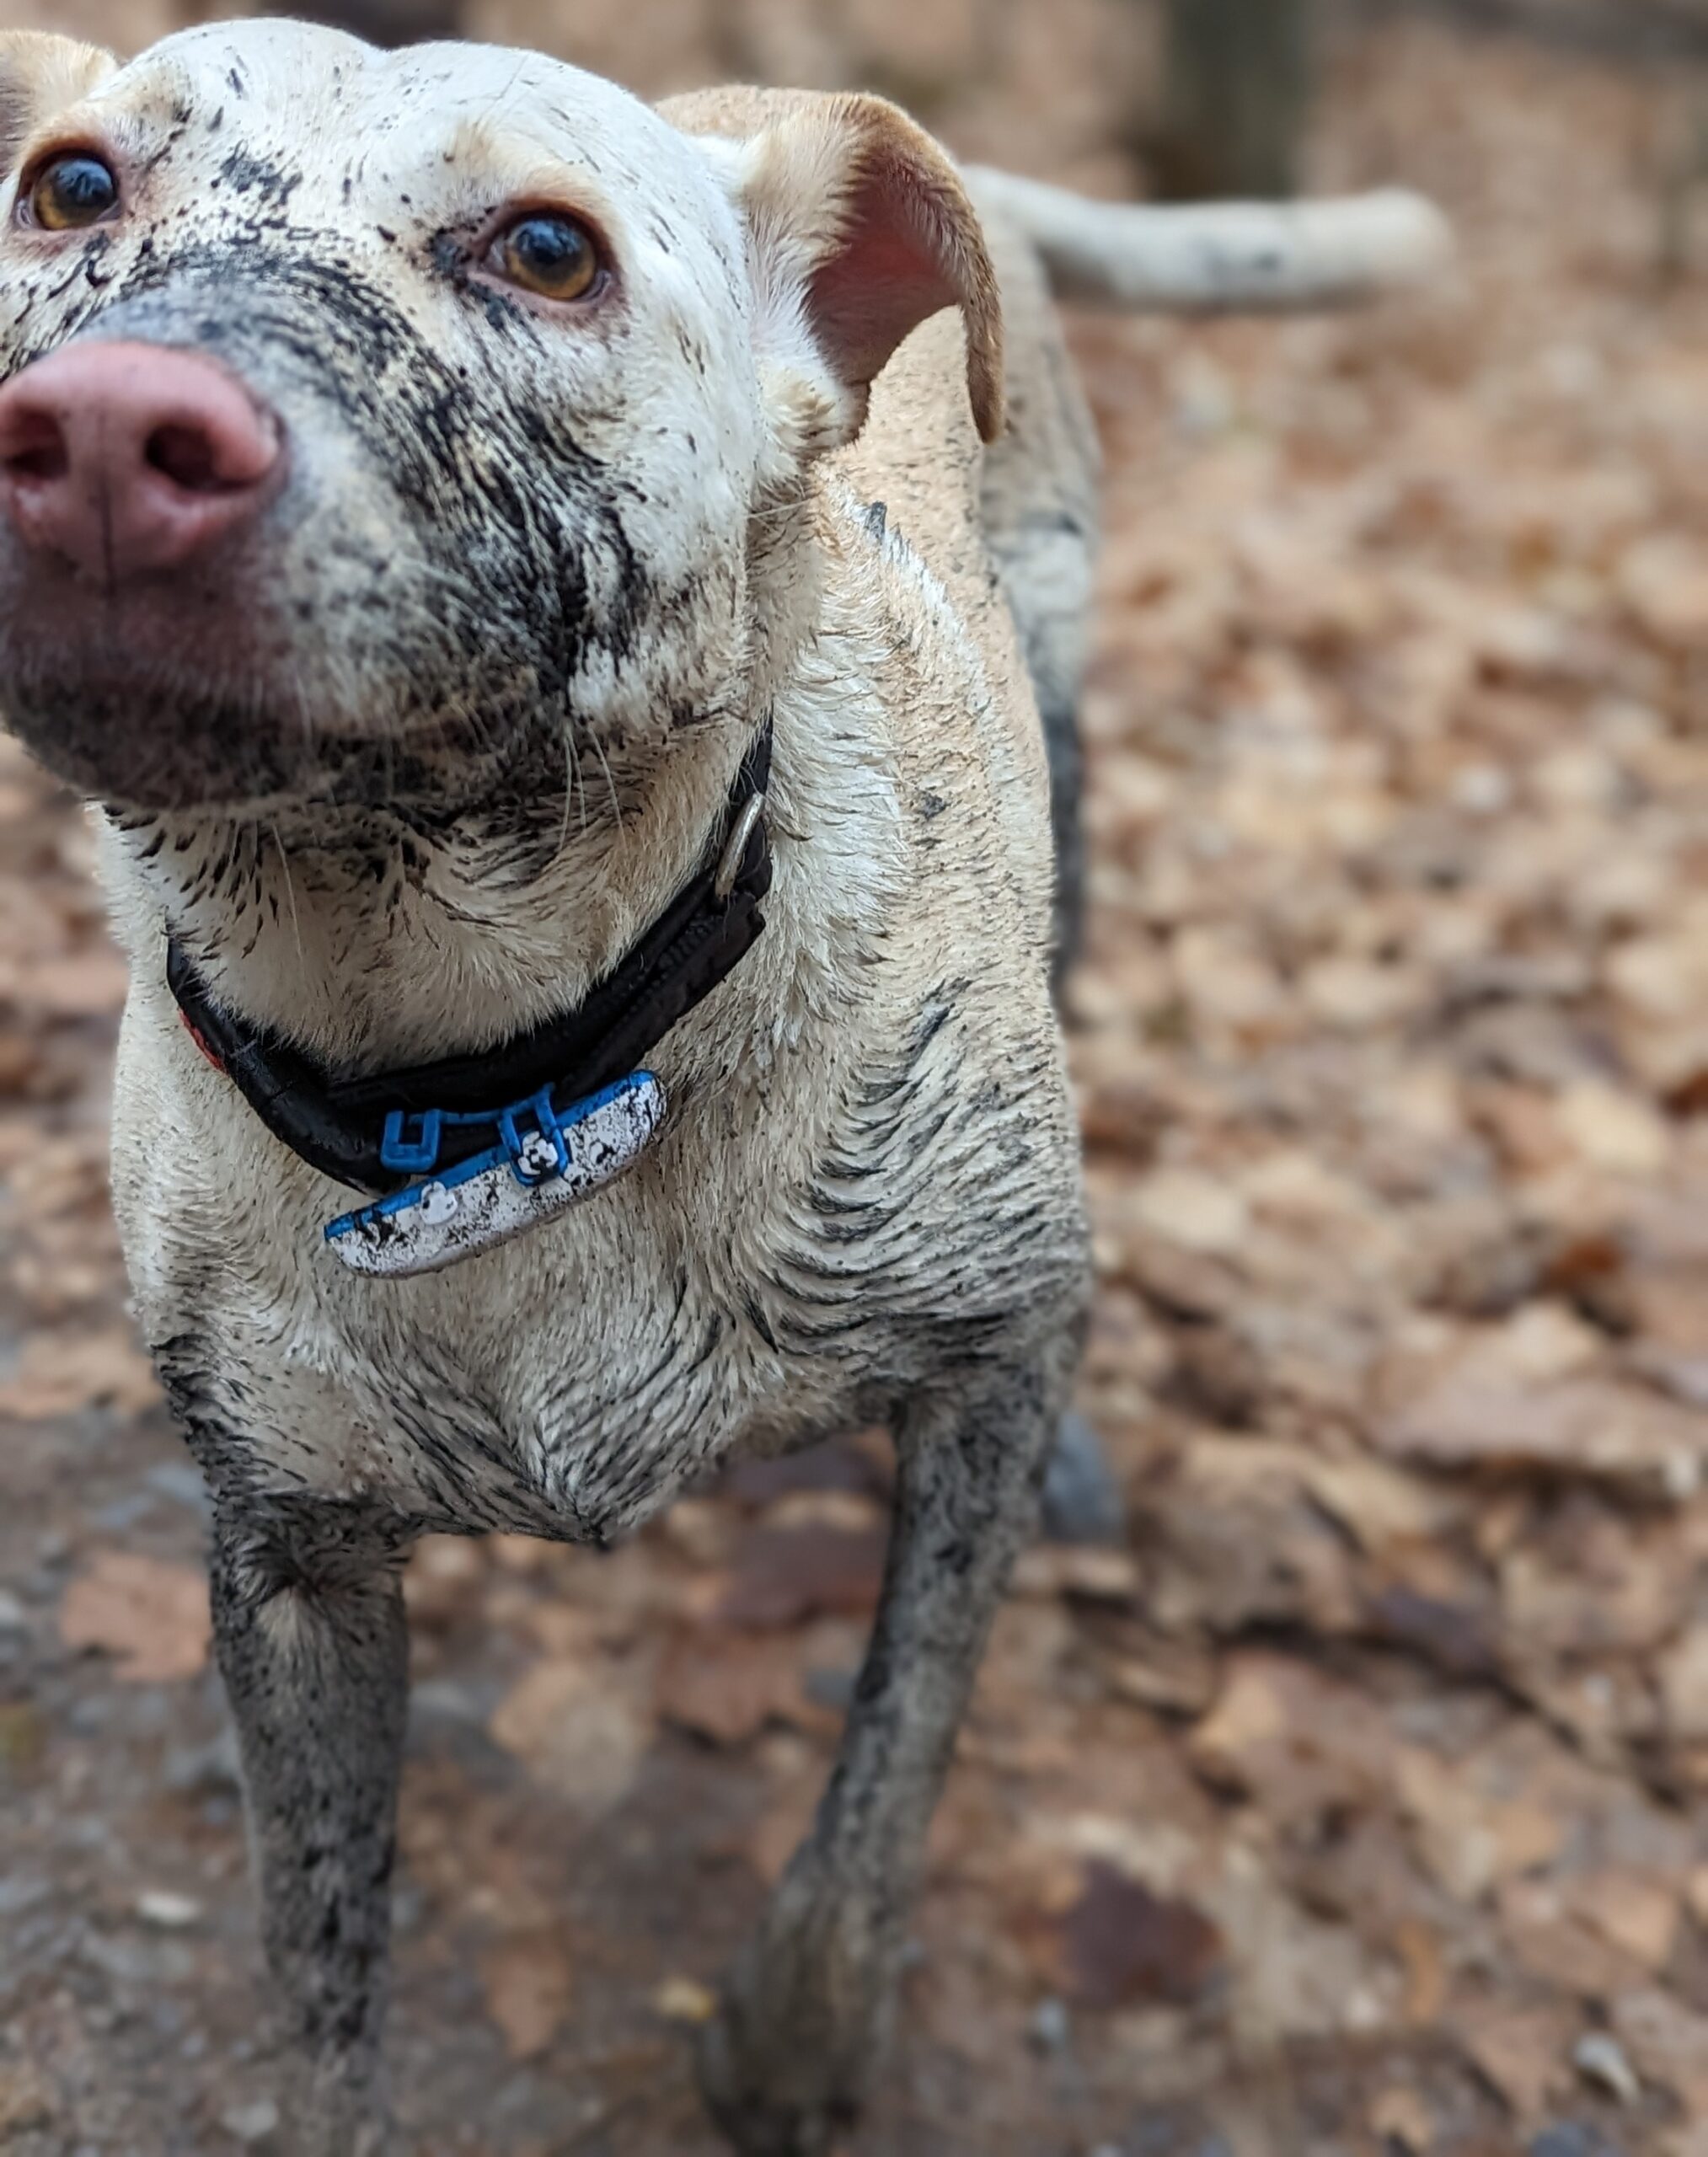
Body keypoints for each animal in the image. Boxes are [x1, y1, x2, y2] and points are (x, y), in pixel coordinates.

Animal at [0, 25, 1440, 2148]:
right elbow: (318, 1971)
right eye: (71, 189)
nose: (103, 432)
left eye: (546, 248)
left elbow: (883, 1780)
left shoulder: (981, 1363)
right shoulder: (282, 1556)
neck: (487, 1066)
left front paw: (789, 2041)